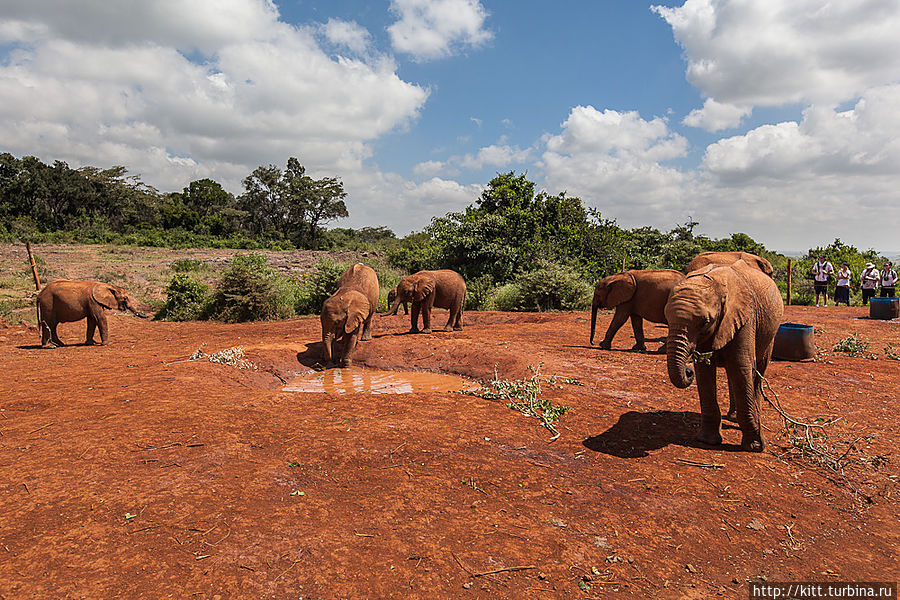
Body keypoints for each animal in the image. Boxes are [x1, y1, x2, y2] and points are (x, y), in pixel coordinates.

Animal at [664, 260, 784, 452]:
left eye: (705, 323)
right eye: (667, 319)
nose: (688, 371)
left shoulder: (745, 318)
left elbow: (741, 367)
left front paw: (756, 447)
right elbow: (704, 372)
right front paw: (707, 441)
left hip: (771, 332)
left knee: (757, 370)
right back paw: (733, 417)